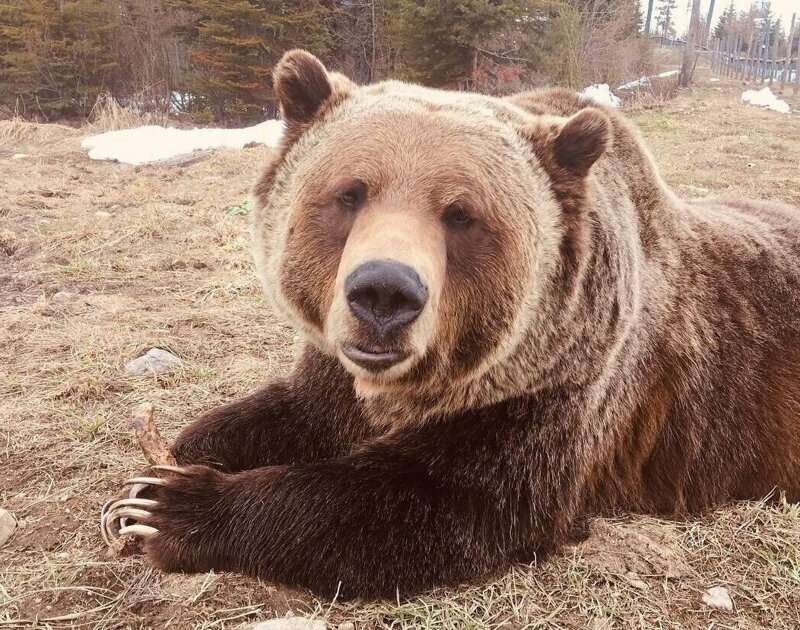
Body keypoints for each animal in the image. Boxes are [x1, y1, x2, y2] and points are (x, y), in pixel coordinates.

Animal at [111, 50, 800, 599]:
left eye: (462, 214)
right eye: (349, 193)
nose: (384, 292)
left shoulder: (555, 392)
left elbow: (424, 504)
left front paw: (179, 509)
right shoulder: (335, 372)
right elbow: (285, 412)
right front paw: (147, 483)